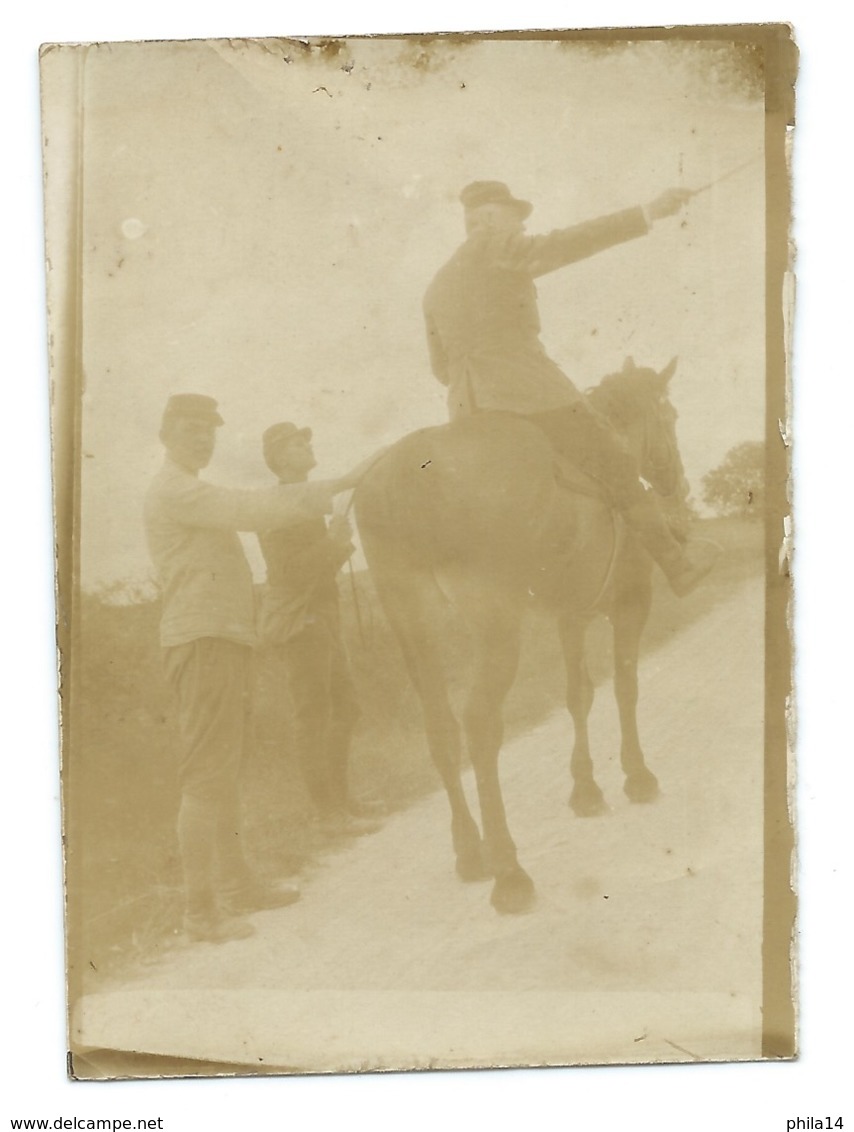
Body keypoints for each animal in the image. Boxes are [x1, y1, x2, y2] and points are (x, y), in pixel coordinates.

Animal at [353, 357, 693, 914]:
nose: (676, 485)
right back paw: (508, 870)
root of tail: (404, 475)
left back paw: (471, 852)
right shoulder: (630, 604)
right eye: (670, 416)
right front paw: (637, 775)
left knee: (441, 730)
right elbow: (625, 686)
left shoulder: (569, 617)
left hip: (413, 628)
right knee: (480, 725)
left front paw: (586, 790)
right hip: (496, 628)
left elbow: (579, 695)